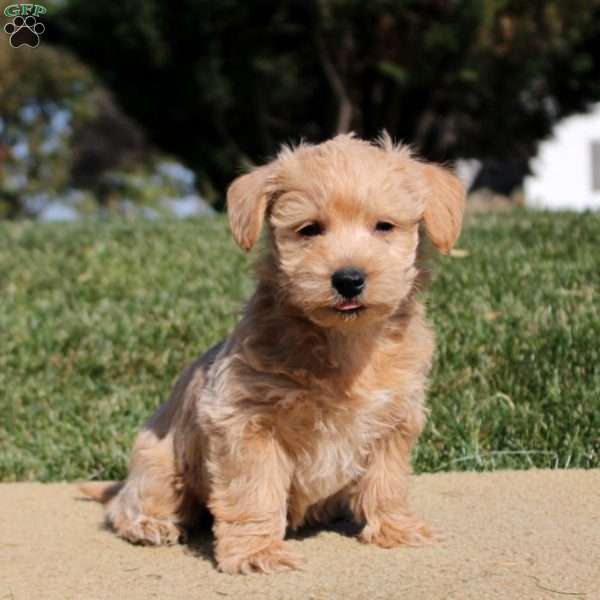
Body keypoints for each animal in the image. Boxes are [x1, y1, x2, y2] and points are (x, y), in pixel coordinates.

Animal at [81, 134, 464, 576]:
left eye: (384, 226)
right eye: (309, 229)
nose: (349, 279)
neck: (345, 344)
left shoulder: (395, 418)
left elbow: (388, 481)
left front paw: (396, 528)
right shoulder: (246, 422)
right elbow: (254, 493)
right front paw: (257, 551)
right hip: (161, 462)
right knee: (128, 504)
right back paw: (150, 523)